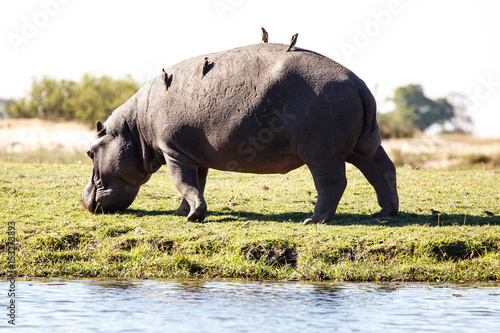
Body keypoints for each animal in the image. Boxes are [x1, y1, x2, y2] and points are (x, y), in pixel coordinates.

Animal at [82, 42, 398, 223]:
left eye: (89, 151)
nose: (83, 199)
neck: (133, 130)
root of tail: (358, 83)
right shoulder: (193, 155)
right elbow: (195, 185)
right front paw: (182, 213)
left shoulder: (173, 152)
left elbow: (182, 182)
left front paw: (193, 217)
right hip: (366, 144)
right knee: (383, 170)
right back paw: (385, 213)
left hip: (322, 153)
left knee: (332, 183)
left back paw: (314, 220)